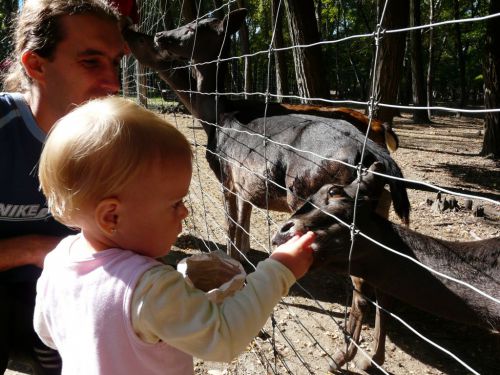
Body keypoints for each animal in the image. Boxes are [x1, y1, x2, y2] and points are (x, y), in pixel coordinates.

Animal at [122, 10, 410, 262]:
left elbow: (232, 229)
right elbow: (243, 230)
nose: (158, 34)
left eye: (194, 27)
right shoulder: (246, 185)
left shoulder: (227, 176)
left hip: (305, 189)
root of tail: (374, 148)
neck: (216, 118)